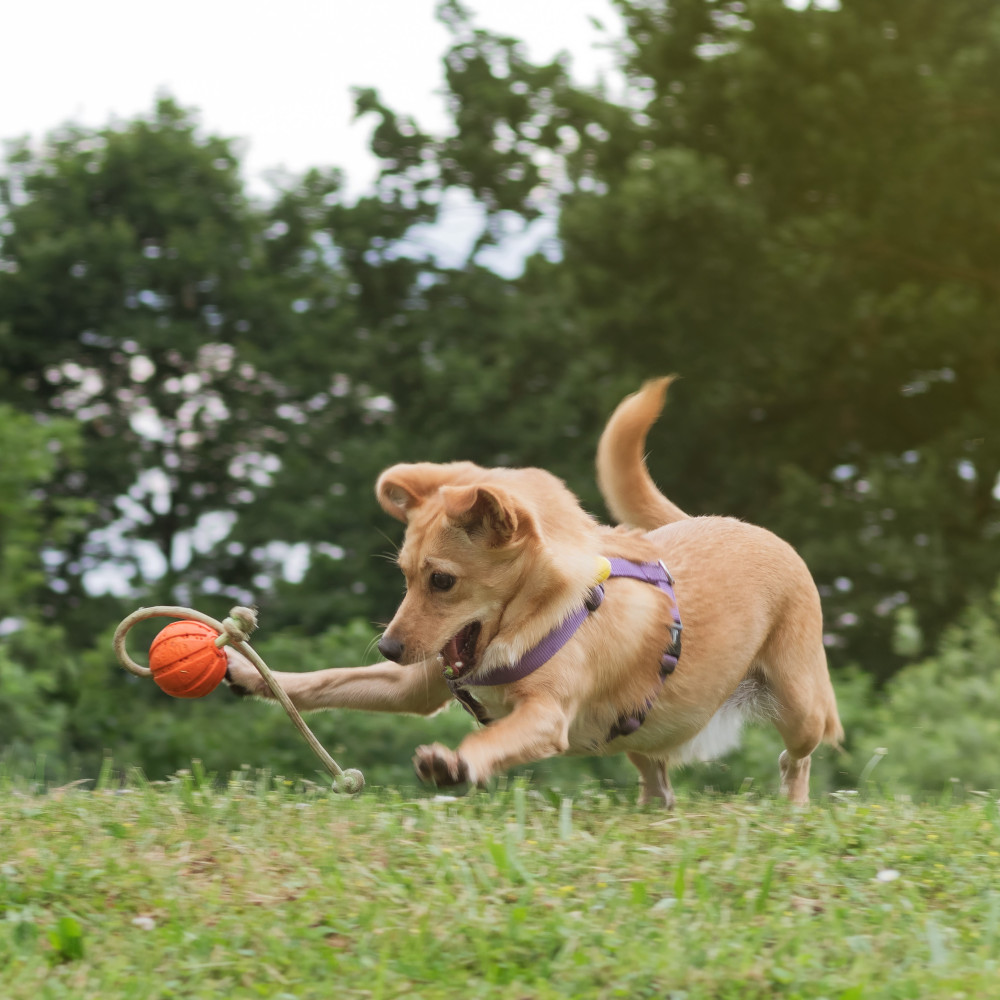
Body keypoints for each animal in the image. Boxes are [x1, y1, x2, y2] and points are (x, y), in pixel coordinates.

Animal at [223, 378, 840, 808]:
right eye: (404, 575)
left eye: (442, 580)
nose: (391, 649)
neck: (537, 615)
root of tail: (733, 523)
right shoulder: (414, 687)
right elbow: (324, 681)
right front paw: (253, 674)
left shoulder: (545, 717)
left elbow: (491, 741)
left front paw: (454, 764)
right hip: (643, 731)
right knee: (657, 775)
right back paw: (651, 807)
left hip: (800, 705)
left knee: (800, 754)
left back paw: (793, 805)